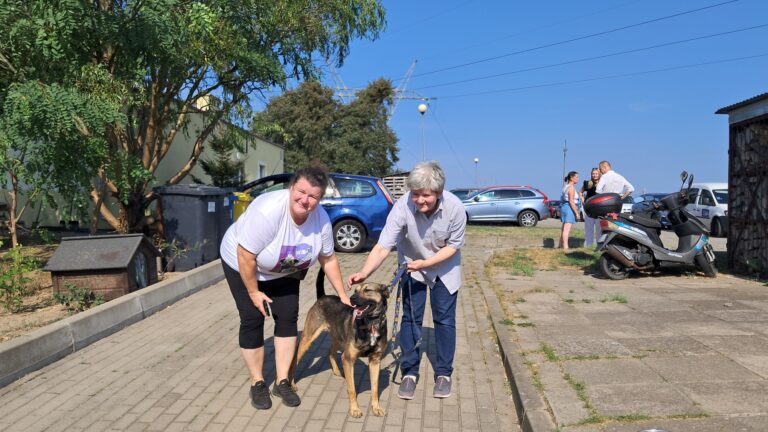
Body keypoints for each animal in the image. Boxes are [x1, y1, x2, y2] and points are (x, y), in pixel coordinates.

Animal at [292, 282, 392, 416]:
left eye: (367, 290)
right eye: (355, 290)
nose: (351, 298)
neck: (371, 324)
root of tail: (323, 296)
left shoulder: (375, 360)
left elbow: (375, 388)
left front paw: (376, 407)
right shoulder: (348, 359)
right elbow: (352, 389)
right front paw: (354, 409)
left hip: (338, 338)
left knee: (330, 351)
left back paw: (337, 371)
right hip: (308, 339)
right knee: (295, 360)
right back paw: (291, 384)